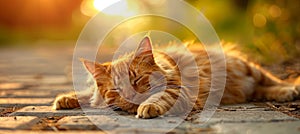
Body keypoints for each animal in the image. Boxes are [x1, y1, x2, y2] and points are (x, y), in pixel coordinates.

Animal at [53, 36, 300, 119]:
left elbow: (158, 98)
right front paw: (65, 99)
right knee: (258, 90)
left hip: (250, 68)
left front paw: (147, 107)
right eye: (116, 90)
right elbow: (88, 94)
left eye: (137, 80)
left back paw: (288, 90)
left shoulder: (177, 89)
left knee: (271, 80)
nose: (132, 99)